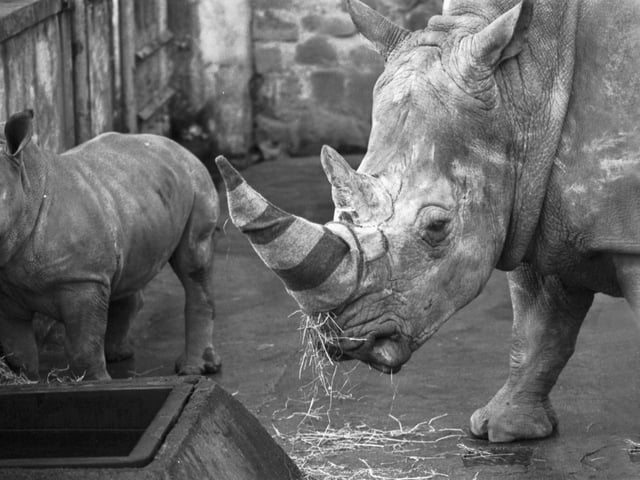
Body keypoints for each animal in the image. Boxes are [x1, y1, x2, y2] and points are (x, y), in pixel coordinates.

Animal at [0, 110, 220, 381]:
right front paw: (29, 380)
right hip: (133, 193)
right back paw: (118, 354)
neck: (28, 183)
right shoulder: (7, 287)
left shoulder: (83, 280)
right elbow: (18, 350)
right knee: (128, 270)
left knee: (194, 264)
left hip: (197, 181)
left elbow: (84, 347)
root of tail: (177, 146)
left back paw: (193, 369)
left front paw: (97, 382)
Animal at [217, 0, 640, 442]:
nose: (340, 340)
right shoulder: (531, 203)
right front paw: (502, 430)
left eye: (437, 227)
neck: (522, 84)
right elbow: (538, 325)